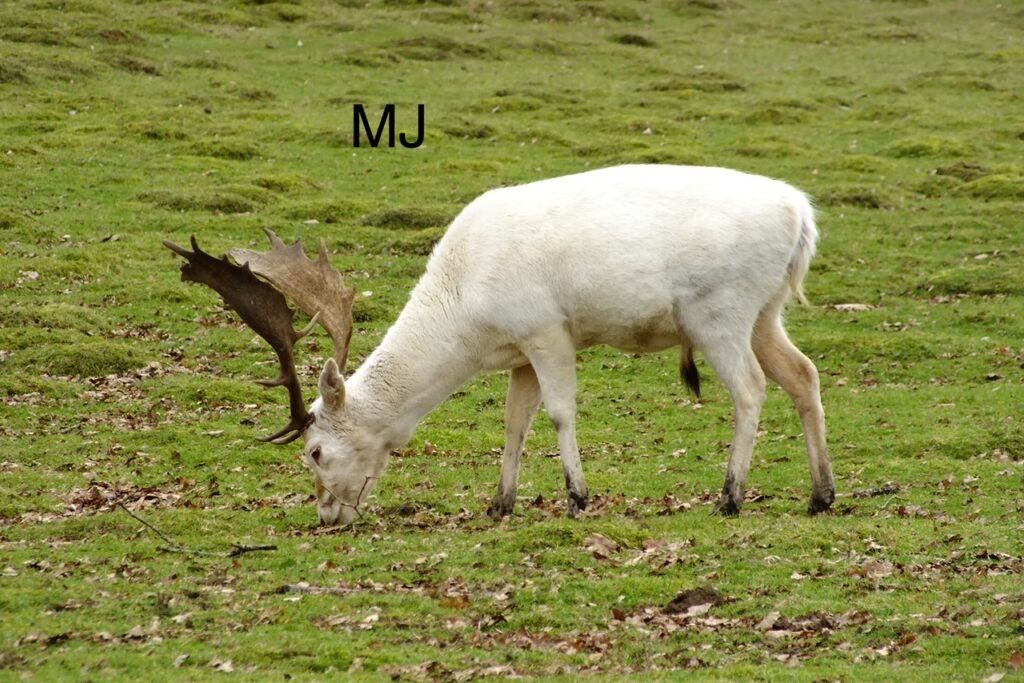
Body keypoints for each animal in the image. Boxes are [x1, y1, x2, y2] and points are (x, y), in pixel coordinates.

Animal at [164, 164, 835, 526]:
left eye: (315, 452)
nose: (327, 516)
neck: (469, 320)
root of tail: (802, 215)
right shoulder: (519, 356)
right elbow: (514, 421)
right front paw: (500, 503)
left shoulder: (547, 330)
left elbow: (560, 412)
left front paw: (577, 497)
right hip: (765, 311)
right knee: (804, 374)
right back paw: (821, 494)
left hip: (719, 310)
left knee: (751, 389)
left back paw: (730, 497)